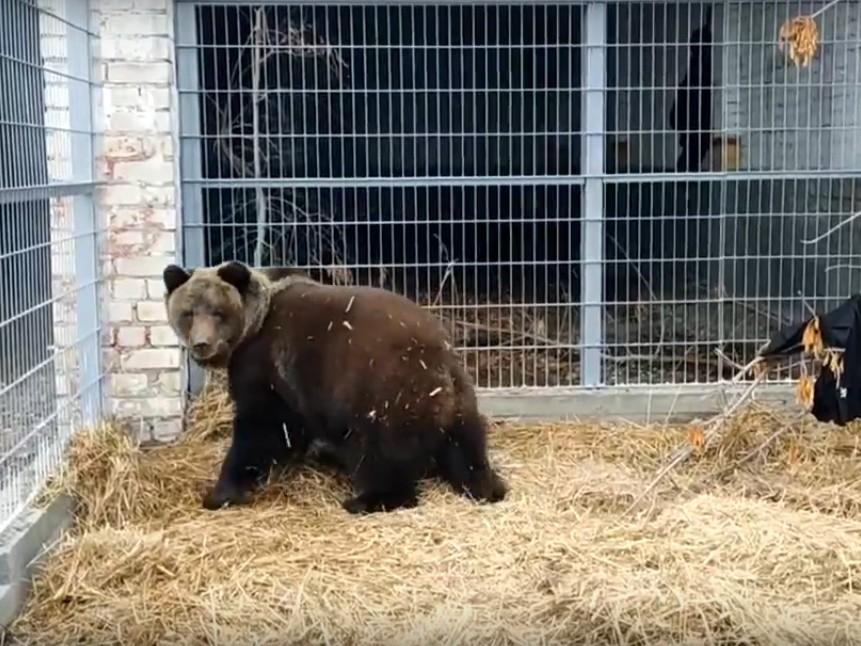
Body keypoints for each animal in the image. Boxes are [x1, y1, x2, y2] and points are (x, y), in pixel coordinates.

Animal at [165, 260, 508, 512]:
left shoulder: (266, 366)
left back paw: (366, 500)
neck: (252, 327)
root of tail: (440, 364)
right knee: (467, 448)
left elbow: (260, 430)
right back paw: (488, 485)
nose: (201, 344)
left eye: (218, 312)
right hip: (460, 398)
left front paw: (221, 492)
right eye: (188, 313)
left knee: (382, 456)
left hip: (386, 394)